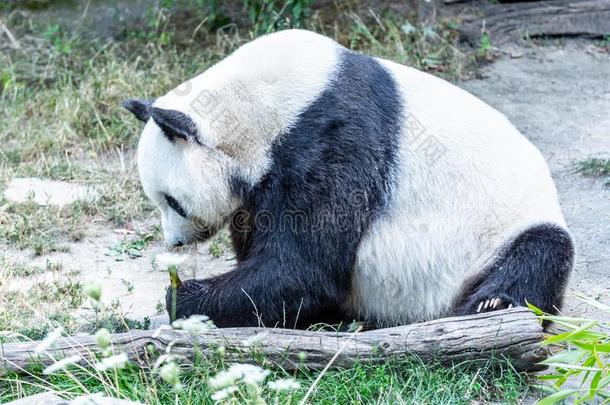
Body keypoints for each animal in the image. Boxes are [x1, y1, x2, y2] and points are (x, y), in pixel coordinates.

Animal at [122, 30, 568, 328]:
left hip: (506, 226)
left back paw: (490, 306)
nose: (174, 242)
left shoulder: (333, 136)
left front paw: (183, 296)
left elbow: (306, 267)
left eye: (172, 201)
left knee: (541, 255)